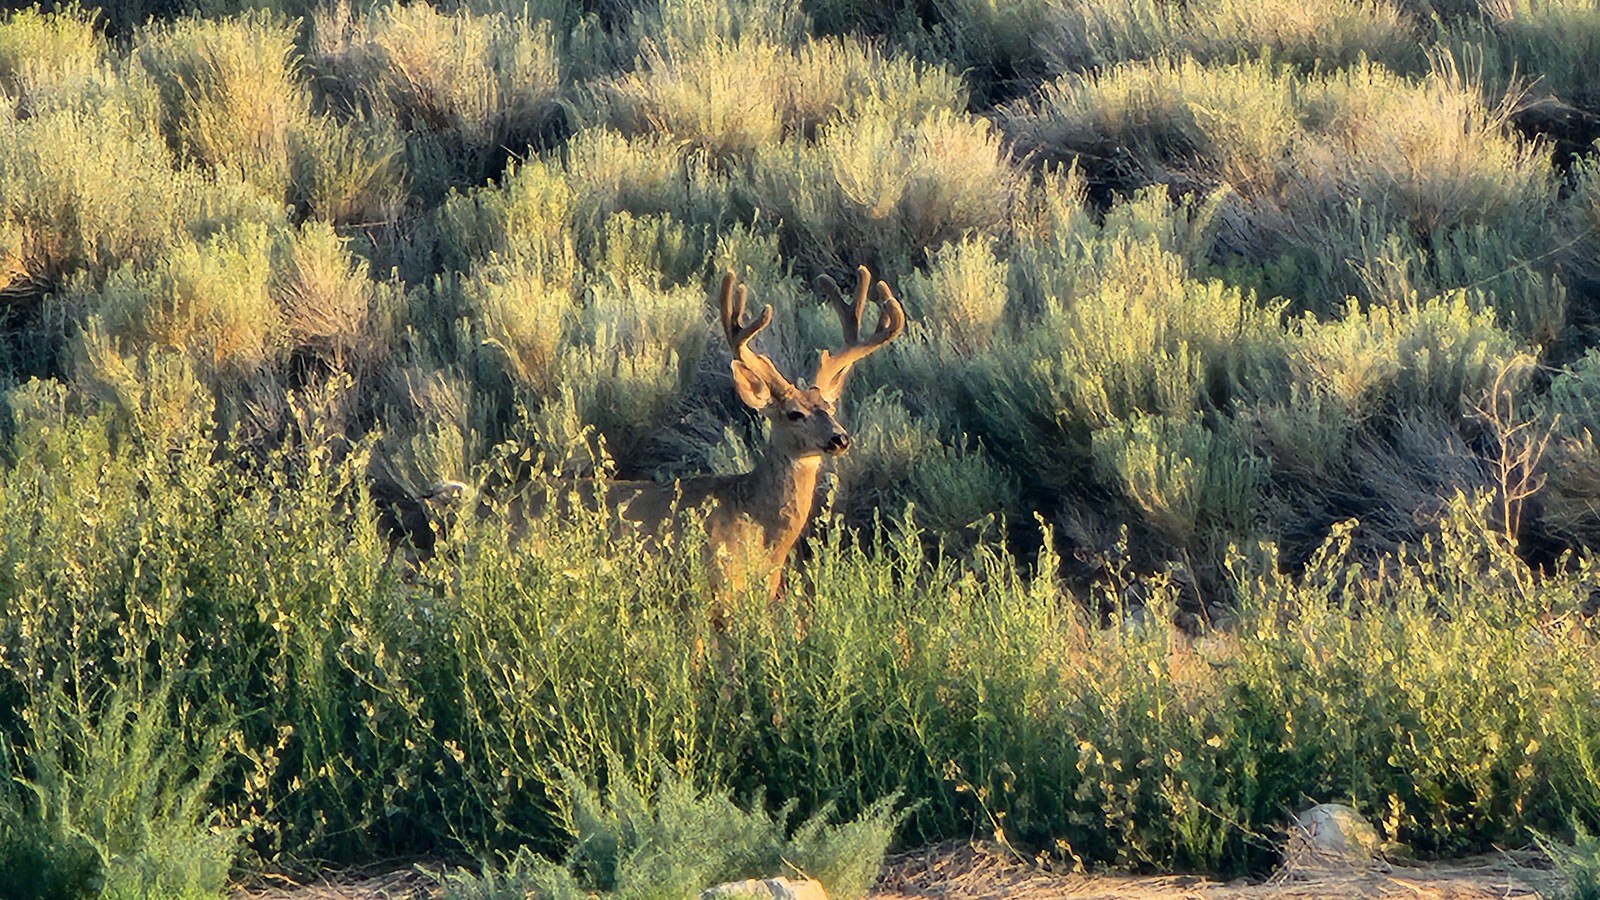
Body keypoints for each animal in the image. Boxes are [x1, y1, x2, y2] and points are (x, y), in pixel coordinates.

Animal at [381, 266, 906, 600]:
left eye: (829, 406)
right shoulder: (706, 592)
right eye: (793, 413)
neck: (755, 526)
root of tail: (485, 508)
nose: (839, 438)